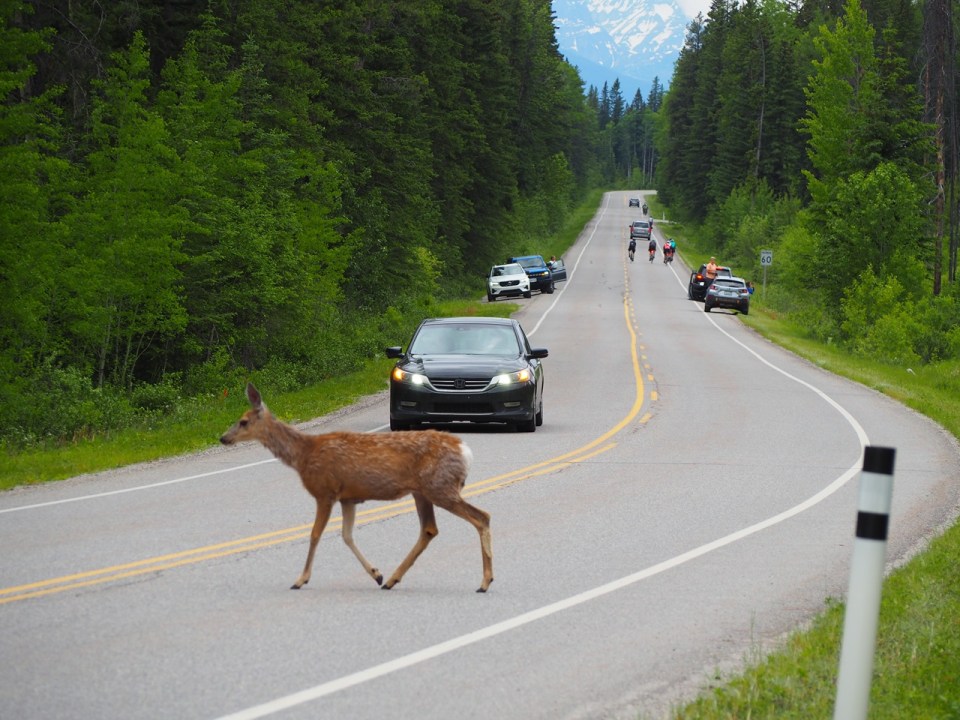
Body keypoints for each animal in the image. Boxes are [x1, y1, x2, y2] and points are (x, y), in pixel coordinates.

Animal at [219, 383, 493, 592]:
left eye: (243, 422)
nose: (223, 438)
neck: (304, 455)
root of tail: (465, 451)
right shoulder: (348, 498)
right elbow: (346, 535)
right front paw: (376, 573)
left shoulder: (325, 491)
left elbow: (315, 534)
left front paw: (300, 579)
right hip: (422, 491)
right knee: (429, 529)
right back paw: (391, 580)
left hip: (440, 486)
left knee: (482, 516)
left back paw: (484, 582)